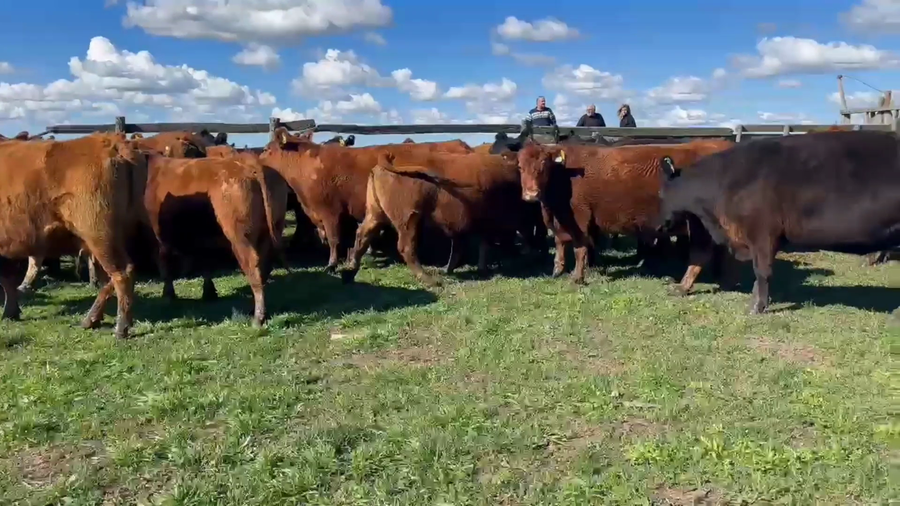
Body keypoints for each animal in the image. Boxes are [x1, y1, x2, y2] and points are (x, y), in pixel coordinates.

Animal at [0, 132, 141, 338]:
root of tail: (111, 141)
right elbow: (7, 279)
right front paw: (11, 312)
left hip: (100, 236)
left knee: (121, 273)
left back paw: (120, 328)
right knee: (109, 279)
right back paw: (91, 320)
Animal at [143, 153, 283, 326]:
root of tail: (248, 160)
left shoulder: (161, 236)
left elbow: (164, 263)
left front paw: (168, 294)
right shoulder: (203, 238)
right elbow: (206, 262)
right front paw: (209, 293)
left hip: (239, 236)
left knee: (253, 265)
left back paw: (258, 318)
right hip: (268, 232)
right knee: (264, 265)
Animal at [259, 127, 474, 272]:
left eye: (267, 149)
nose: (258, 160)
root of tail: (460, 144)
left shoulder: (330, 212)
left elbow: (334, 240)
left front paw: (332, 264)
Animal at [341, 149, 539, 286]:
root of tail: (388, 157)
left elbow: (469, 245)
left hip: (375, 214)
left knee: (362, 236)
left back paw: (349, 272)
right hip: (409, 220)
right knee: (406, 247)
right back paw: (429, 279)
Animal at [514, 139, 736, 287]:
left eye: (544, 166)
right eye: (520, 167)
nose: (531, 194)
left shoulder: (579, 217)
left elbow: (579, 248)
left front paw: (577, 277)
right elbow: (561, 242)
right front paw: (557, 270)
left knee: (702, 252)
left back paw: (684, 286)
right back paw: (721, 277)